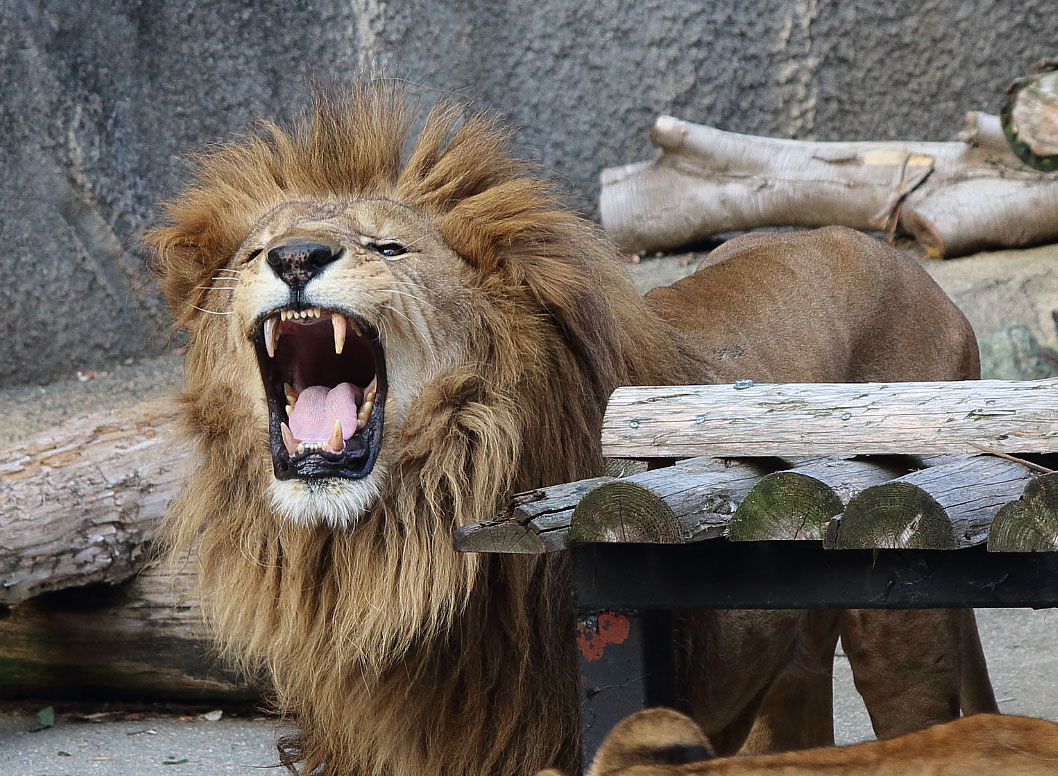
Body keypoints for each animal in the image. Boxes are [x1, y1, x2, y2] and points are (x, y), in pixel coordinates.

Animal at [147, 78, 990, 774]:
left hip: (900, 620)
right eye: (256, 251)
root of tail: (911, 267)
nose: (295, 257)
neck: (394, 545)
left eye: (388, 247)